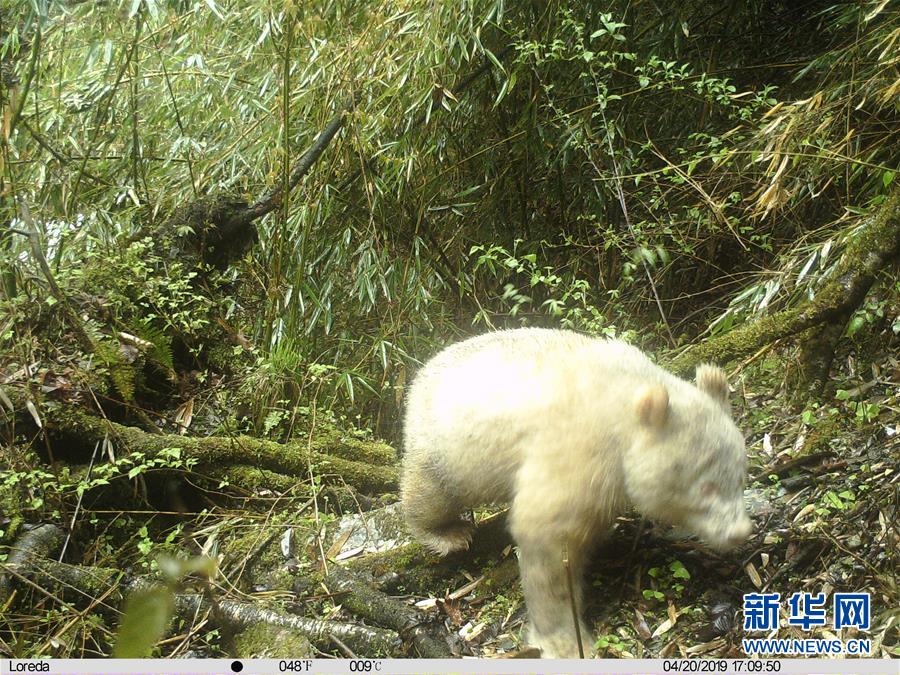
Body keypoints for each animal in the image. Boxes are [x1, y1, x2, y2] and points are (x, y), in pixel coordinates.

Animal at [400, 327, 752, 658]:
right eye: (706, 486)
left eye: (740, 476)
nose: (739, 532)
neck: (624, 402)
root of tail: (421, 373)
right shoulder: (578, 449)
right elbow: (547, 536)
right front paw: (565, 641)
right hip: (444, 446)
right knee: (430, 492)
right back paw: (447, 533)